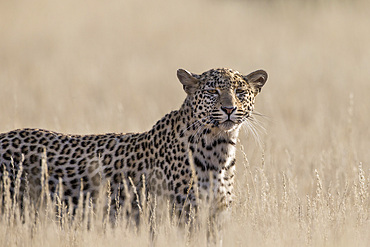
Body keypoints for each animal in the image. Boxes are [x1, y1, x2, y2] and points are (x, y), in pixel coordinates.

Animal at [0, 67, 266, 226]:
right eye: (212, 91)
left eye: (240, 92)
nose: (229, 109)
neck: (219, 148)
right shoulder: (180, 217)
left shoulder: (215, 217)